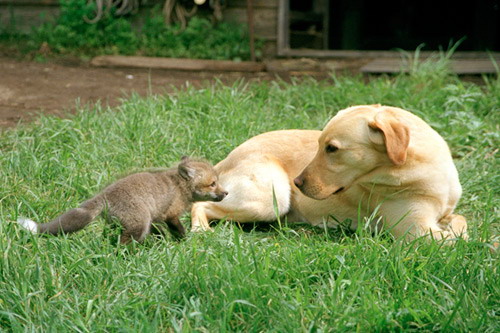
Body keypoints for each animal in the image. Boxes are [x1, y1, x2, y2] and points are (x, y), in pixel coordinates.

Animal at [190, 104, 464, 239]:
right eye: (320, 145)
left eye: (331, 148)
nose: (297, 182)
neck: (424, 169)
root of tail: (224, 161)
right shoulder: (415, 231)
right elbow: (456, 241)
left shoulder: (445, 214)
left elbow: (461, 222)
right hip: (269, 199)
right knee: (200, 205)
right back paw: (201, 230)